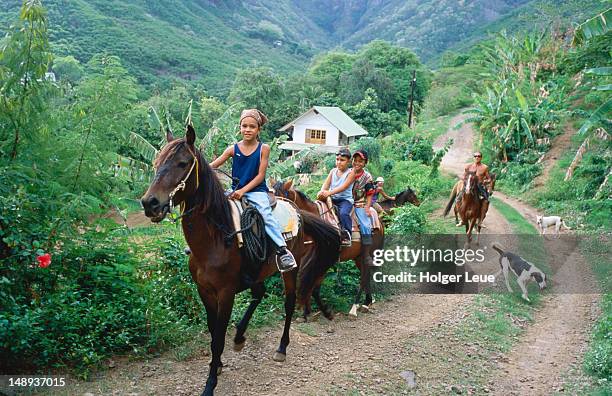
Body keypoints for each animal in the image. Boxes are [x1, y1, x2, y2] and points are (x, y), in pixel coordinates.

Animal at [140, 127, 340, 396]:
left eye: (182, 163)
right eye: (156, 162)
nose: (149, 203)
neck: (215, 238)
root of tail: (297, 210)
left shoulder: (225, 292)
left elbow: (218, 338)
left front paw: (210, 383)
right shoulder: (205, 291)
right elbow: (213, 331)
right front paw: (218, 365)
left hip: (290, 268)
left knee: (288, 302)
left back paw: (281, 348)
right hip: (256, 273)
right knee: (259, 293)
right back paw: (240, 337)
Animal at [272, 179, 382, 318]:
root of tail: (380, 222)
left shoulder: (323, 261)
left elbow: (314, 288)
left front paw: (324, 312)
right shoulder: (306, 260)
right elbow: (306, 282)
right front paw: (306, 312)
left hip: (370, 253)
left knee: (363, 277)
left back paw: (354, 308)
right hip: (358, 257)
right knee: (366, 275)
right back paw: (367, 302)